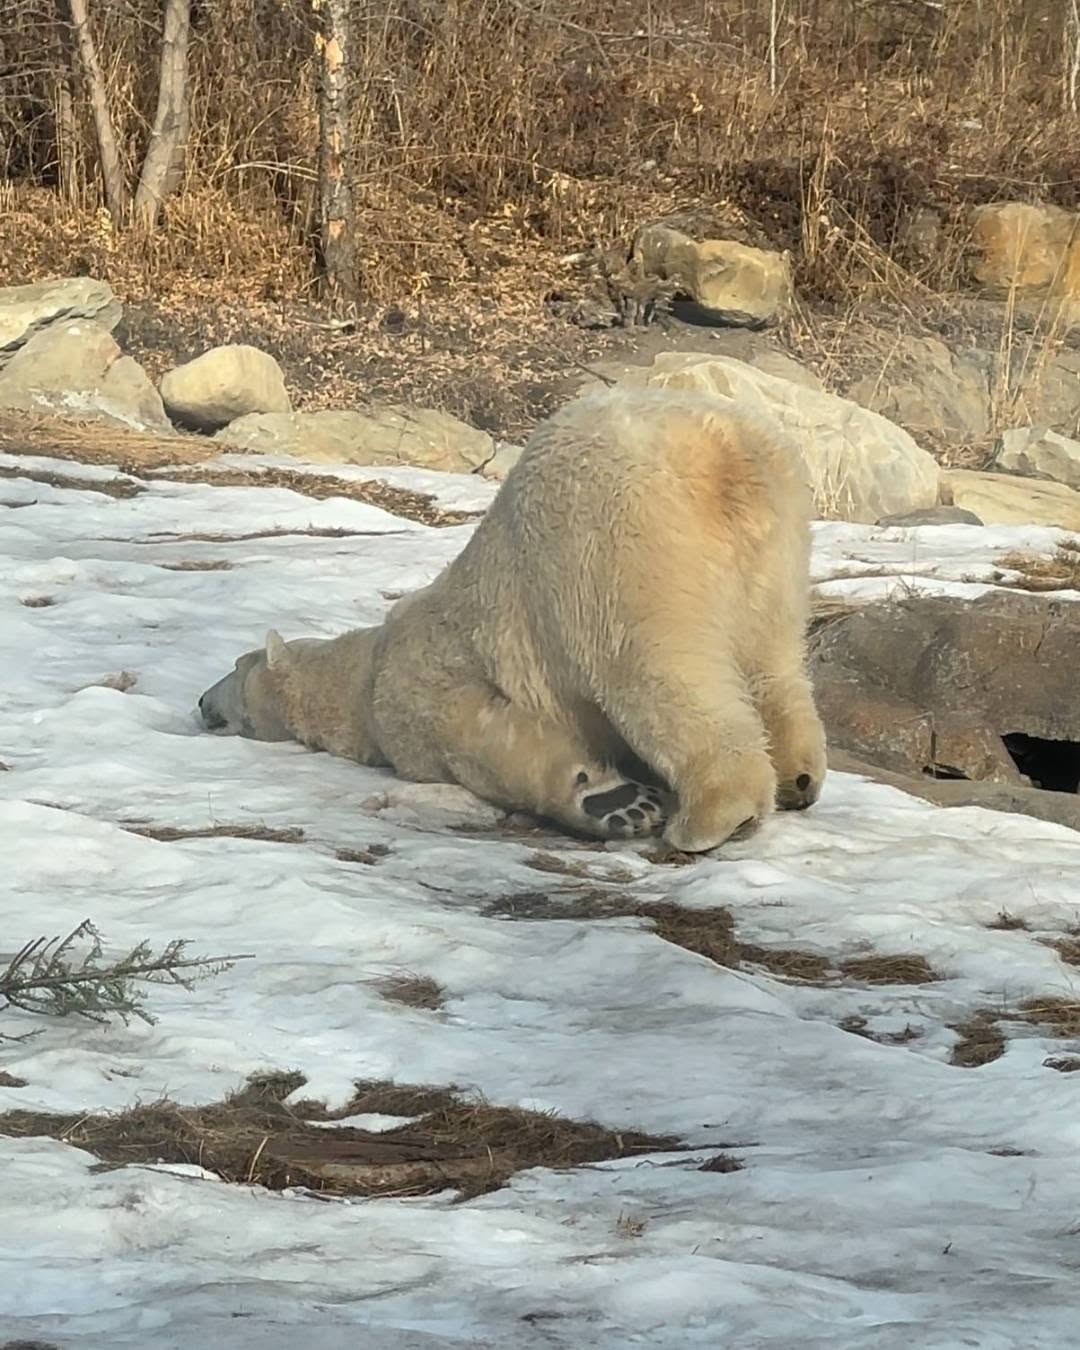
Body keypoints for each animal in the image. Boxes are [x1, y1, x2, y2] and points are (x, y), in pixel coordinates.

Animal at [198, 383, 827, 852]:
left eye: (236, 665)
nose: (202, 702)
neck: (362, 671)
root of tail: (721, 450)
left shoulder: (415, 683)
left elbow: (486, 740)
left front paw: (618, 802)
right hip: (777, 540)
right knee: (773, 659)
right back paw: (797, 775)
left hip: (611, 547)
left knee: (654, 669)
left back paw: (711, 816)